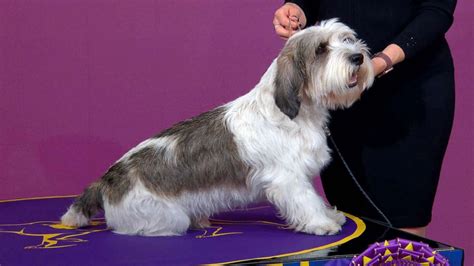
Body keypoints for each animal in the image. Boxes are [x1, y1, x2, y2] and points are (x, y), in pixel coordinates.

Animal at [62, 19, 374, 237]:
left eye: (346, 39)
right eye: (321, 49)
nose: (357, 56)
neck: (296, 113)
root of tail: (106, 180)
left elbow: (315, 198)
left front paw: (330, 216)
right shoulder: (289, 178)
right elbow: (306, 201)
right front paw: (321, 223)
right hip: (165, 217)